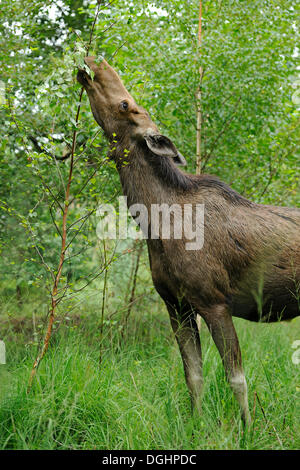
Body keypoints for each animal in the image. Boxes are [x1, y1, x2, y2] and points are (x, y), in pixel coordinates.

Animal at [77, 57, 300, 424]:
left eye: (126, 105)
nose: (96, 61)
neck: (155, 224)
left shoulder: (214, 302)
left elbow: (236, 377)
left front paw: (247, 427)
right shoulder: (176, 306)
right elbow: (192, 376)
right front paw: (196, 424)